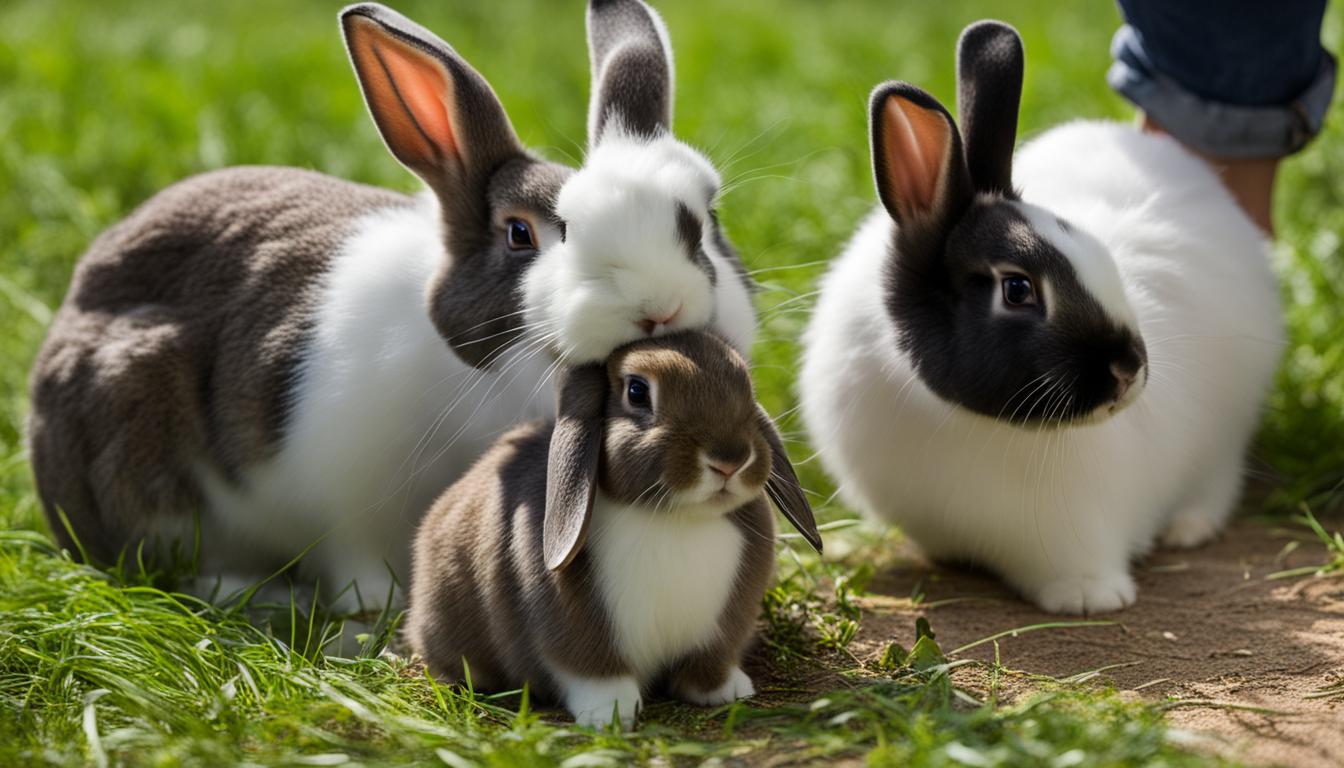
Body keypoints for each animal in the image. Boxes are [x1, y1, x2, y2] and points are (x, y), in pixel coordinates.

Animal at [26, 0, 756, 615]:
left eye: (706, 220)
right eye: (523, 234)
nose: (660, 307)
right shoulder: (351, 500)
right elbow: (360, 562)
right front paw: (384, 612)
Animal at [407, 330, 821, 727]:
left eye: (743, 381)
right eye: (637, 391)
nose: (730, 460)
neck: (673, 517)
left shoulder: (722, 630)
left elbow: (712, 661)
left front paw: (726, 690)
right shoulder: (571, 631)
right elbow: (593, 672)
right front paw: (610, 713)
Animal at [799, 21, 1283, 615]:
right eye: (1017, 289)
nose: (1130, 370)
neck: (959, 419)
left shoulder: (1080, 528)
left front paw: (1089, 599)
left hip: (1224, 429)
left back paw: (1187, 528)